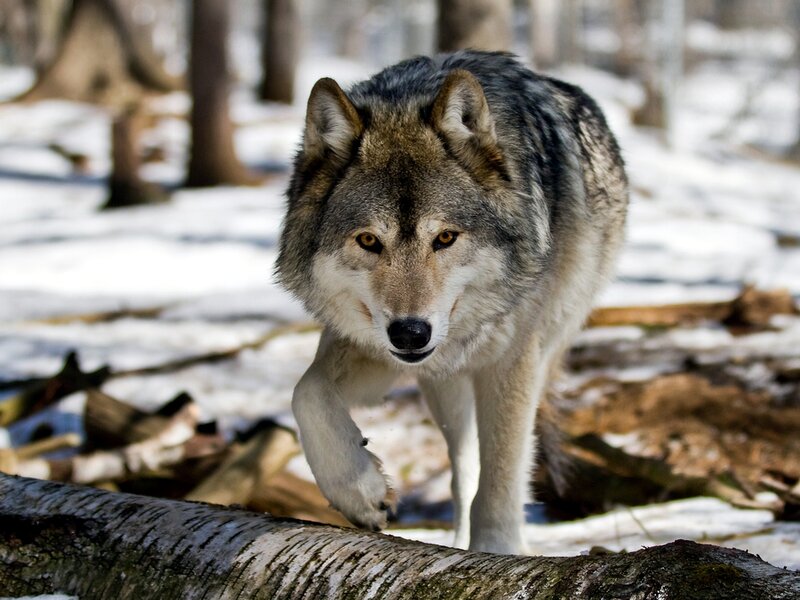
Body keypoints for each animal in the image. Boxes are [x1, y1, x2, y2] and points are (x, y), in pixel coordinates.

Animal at [276, 51, 628, 555]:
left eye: (444, 238)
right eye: (368, 240)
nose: (410, 332)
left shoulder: (513, 360)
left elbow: (501, 481)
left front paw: (498, 554)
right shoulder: (376, 344)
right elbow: (306, 393)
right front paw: (359, 491)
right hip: (445, 389)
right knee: (464, 473)